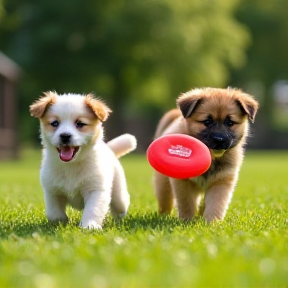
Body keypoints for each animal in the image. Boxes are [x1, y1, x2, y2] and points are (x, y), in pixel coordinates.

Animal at [29, 91, 137, 230]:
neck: (72, 165)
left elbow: (92, 210)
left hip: (118, 193)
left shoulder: (95, 190)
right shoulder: (52, 191)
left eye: (80, 124)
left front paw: (89, 226)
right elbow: (54, 213)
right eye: (55, 123)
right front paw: (60, 223)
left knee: (120, 205)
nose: (65, 136)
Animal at [153, 86, 258, 222]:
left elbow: (215, 204)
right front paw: (186, 220)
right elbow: (187, 203)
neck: (212, 160)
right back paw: (164, 215)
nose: (219, 139)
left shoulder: (221, 182)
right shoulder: (183, 183)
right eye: (207, 121)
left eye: (229, 122)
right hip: (163, 185)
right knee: (165, 201)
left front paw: (212, 222)